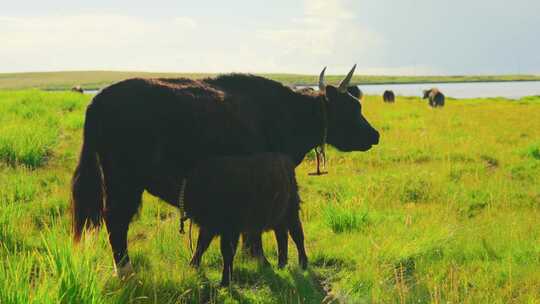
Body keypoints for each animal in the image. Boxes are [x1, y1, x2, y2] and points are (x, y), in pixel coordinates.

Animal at [182, 153, 306, 286]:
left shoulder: (232, 224)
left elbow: (228, 248)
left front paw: (224, 281)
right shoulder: (213, 225)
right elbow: (201, 245)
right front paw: (192, 266)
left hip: (290, 210)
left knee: (296, 233)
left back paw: (302, 263)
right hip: (280, 215)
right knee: (283, 235)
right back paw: (282, 264)